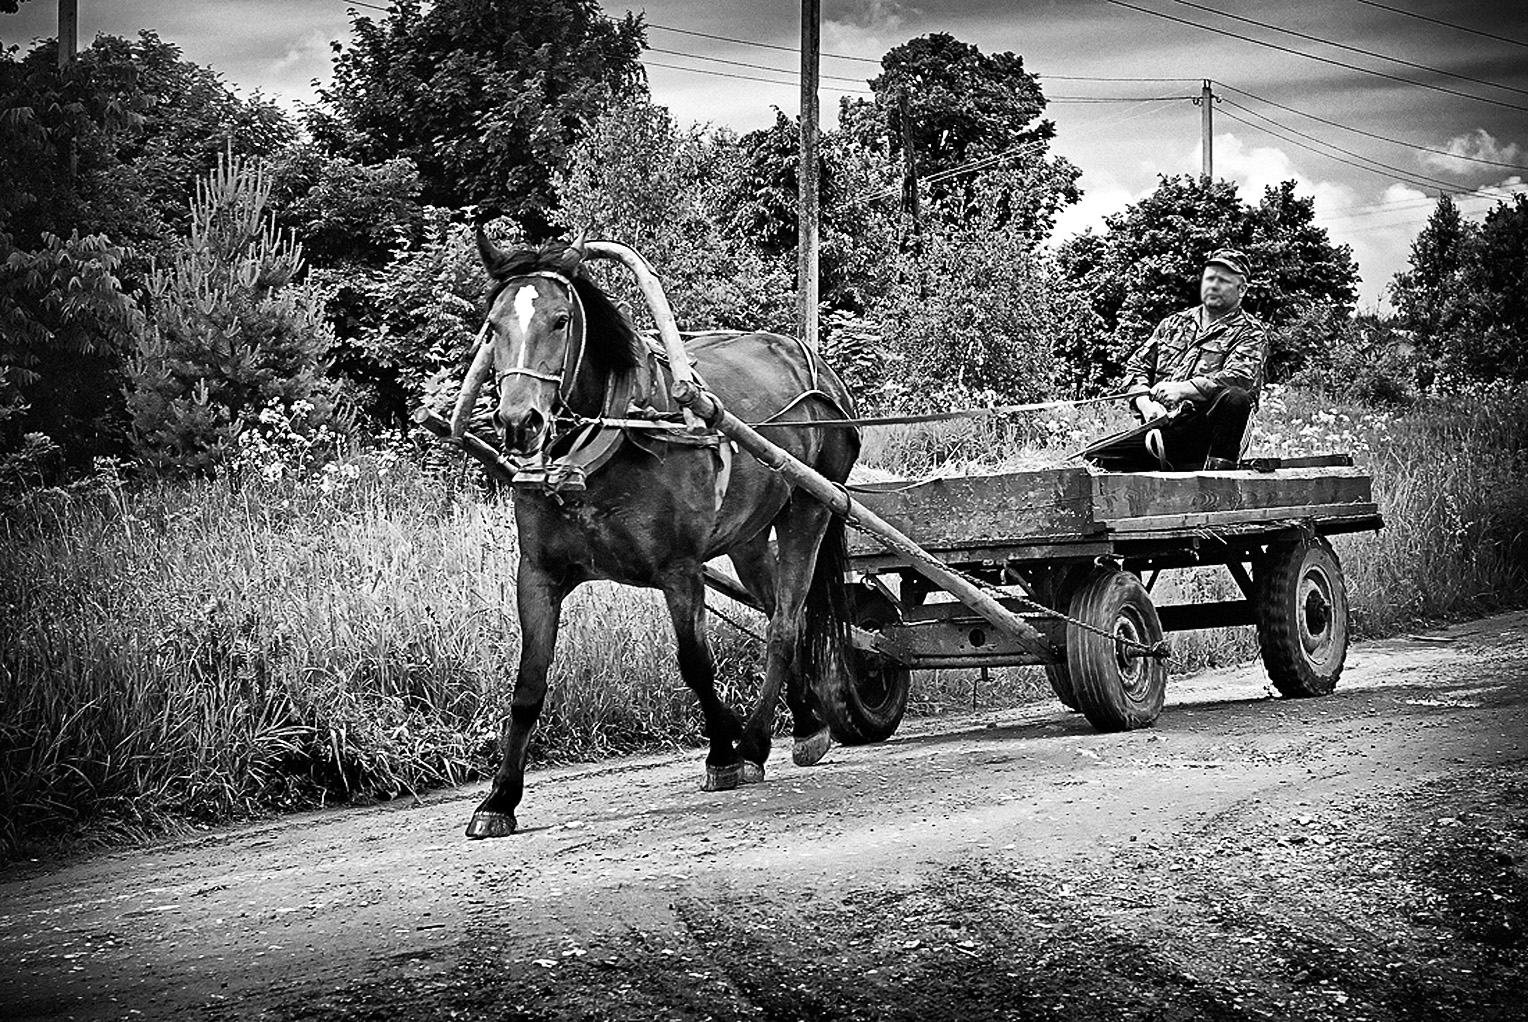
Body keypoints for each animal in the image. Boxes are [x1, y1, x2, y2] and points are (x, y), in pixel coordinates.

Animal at [449, 233, 861, 837]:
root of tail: (815, 365)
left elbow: (695, 664)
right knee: (784, 613)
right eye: (492, 325)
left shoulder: (680, 570)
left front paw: (724, 753)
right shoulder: (538, 575)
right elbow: (528, 687)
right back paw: (803, 723)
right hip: (748, 537)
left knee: (785, 624)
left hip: (810, 506)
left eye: (560, 319)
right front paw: (500, 799)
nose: (520, 422)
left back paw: (756, 741)